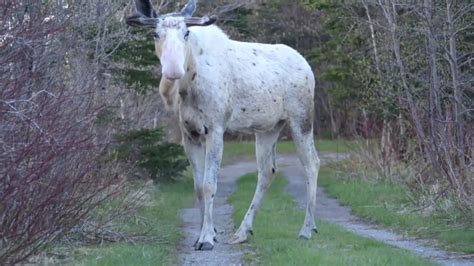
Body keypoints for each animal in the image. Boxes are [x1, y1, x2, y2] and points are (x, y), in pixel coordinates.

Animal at [126, 0, 320, 250]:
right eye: (155, 33)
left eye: (186, 33)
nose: (173, 70)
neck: (187, 86)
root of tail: (307, 65)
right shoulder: (189, 134)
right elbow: (198, 188)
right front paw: (205, 234)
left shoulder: (216, 129)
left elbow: (210, 185)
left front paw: (207, 237)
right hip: (268, 128)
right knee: (267, 171)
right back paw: (243, 231)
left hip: (301, 119)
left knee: (312, 163)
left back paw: (307, 229)